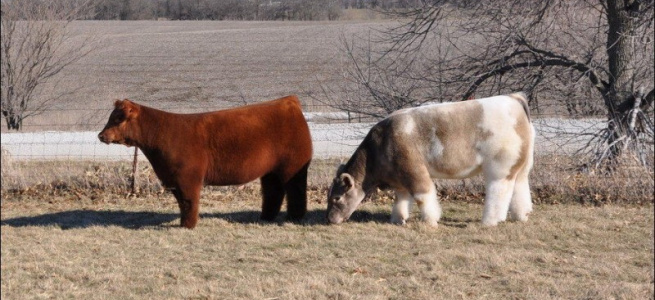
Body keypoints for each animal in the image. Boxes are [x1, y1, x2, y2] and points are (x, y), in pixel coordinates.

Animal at [97, 95, 312, 229]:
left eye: (118, 118)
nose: (101, 135)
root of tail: (289, 101)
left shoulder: (188, 178)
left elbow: (190, 201)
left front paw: (189, 226)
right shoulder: (174, 180)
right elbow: (182, 203)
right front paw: (184, 223)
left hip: (293, 166)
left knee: (296, 191)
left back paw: (295, 217)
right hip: (270, 171)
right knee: (273, 192)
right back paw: (266, 217)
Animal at [326, 92, 536, 226]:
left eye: (337, 197)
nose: (329, 219)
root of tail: (513, 98)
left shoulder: (414, 171)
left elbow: (423, 196)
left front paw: (430, 220)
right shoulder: (399, 179)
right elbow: (401, 199)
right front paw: (398, 219)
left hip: (499, 167)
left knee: (499, 191)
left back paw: (489, 221)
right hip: (521, 166)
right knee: (520, 187)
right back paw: (522, 215)